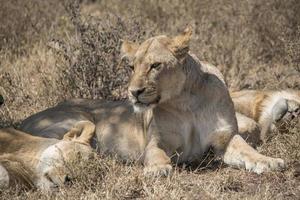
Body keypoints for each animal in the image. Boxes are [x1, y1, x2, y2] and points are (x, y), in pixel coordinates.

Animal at [20, 26, 284, 175]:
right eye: (131, 67)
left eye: (155, 66)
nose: (133, 92)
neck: (185, 103)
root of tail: (22, 121)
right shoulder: (156, 141)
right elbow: (155, 154)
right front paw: (158, 169)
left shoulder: (225, 138)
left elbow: (248, 150)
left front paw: (269, 162)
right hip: (75, 118)